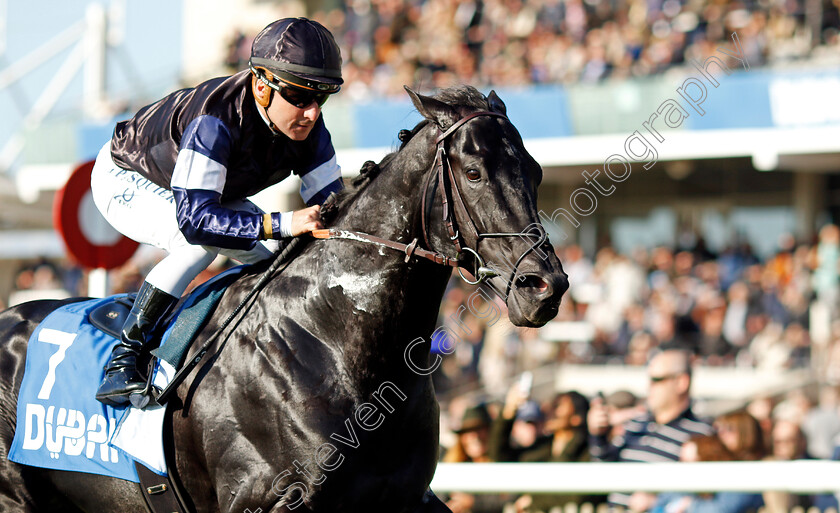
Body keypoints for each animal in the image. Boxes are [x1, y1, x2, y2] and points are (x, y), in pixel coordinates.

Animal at [0, 86, 572, 510]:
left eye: (536, 171)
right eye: (473, 172)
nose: (545, 287)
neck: (333, 339)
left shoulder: (403, 499)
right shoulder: (262, 501)